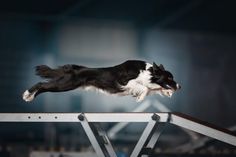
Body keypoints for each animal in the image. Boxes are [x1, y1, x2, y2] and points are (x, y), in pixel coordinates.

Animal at [22, 59, 181, 102]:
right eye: (170, 77)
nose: (180, 86)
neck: (147, 71)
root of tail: (74, 69)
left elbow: (152, 88)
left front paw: (167, 92)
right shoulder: (125, 82)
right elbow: (145, 87)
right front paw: (140, 98)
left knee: (43, 86)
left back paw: (29, 96)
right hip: (65, 84)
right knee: (42, 85)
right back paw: (27, 95)